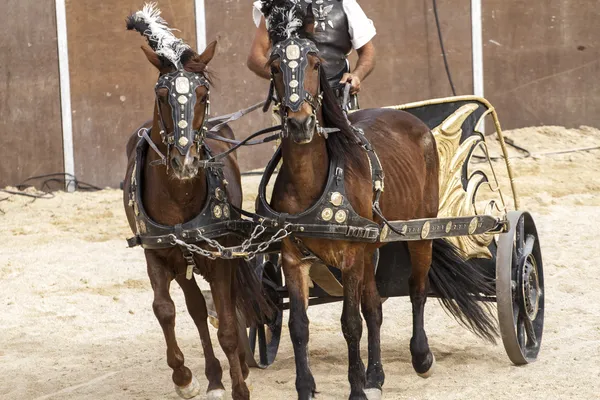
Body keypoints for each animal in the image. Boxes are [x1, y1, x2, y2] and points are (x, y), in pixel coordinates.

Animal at [122, 6, 264, 400]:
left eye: (202, 93)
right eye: (160, 95)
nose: (184, 160)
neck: (179, 194)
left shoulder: (221, 254)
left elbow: (228, 323)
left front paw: (240, 385)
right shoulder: (156, 252)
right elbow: (165, 310)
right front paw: (184, 377)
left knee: (225, 305)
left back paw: (238, 365)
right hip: (182, 259)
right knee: (197, 308)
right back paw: (214, 376)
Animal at [262, 1, 496, 398]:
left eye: (314, 63)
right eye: (276, 66)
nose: (300, 124)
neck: (313, 183)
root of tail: (411, 122)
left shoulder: (351, 257)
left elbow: (350, 323)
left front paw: (356, 388)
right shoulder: (293, 258)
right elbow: (300, 325)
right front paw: (308, 387)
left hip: (419, 234)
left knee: (417, 290)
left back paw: (420, 356)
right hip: (373, 249)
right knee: (375, 307)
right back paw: (376, 374)